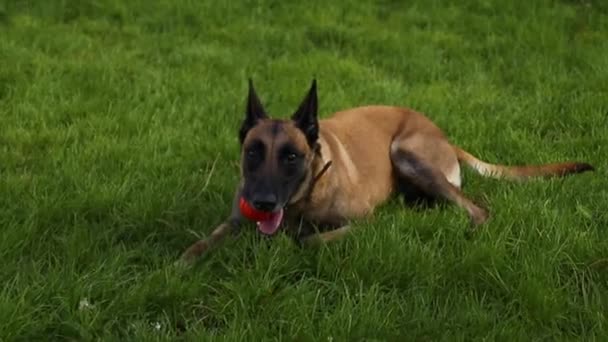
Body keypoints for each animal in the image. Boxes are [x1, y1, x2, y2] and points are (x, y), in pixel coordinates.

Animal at [177, 80, 592, 264]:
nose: (262, 202)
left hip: (405, 151)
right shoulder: (234, 221)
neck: (302, 198)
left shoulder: (361, 224)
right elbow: (201, 243)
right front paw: (179, 266)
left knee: (477, 209)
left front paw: (292, 240)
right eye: (253, 152)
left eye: (291, 156)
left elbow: (306, 241)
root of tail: (444, 137)